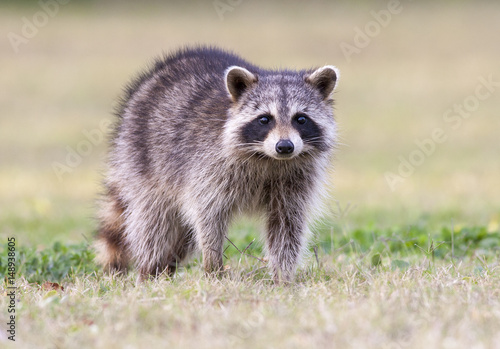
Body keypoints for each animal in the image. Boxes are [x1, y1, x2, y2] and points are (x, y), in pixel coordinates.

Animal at [95, 46, 340, 282]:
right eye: (264, 119)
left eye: (301, 119)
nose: (285, 146)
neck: (268, 158)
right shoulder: (208, 168)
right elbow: (207, 217)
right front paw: (213, 267)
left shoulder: (296, 182)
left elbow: (286, 227)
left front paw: (283, 277)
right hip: (143, 161)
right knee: (154, 224)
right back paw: (150, 271)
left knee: (181, 238)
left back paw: (166, 270)